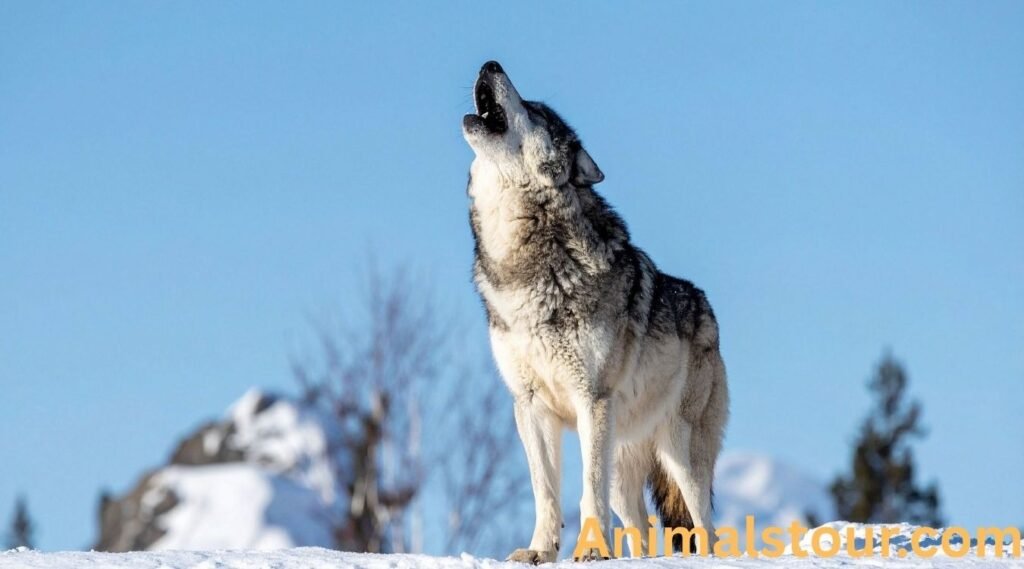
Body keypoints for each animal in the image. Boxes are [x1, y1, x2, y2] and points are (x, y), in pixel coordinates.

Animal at [462, 61, 729, 562]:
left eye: (537, 111)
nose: (490, 65)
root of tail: (706, 307)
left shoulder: (591, 399)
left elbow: (587, 488)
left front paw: (590, 553)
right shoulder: (530, 405)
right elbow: (545, 492)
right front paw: (540, 552)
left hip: (679, 452)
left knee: (704, 525)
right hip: (624, 465)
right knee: (640, 527)